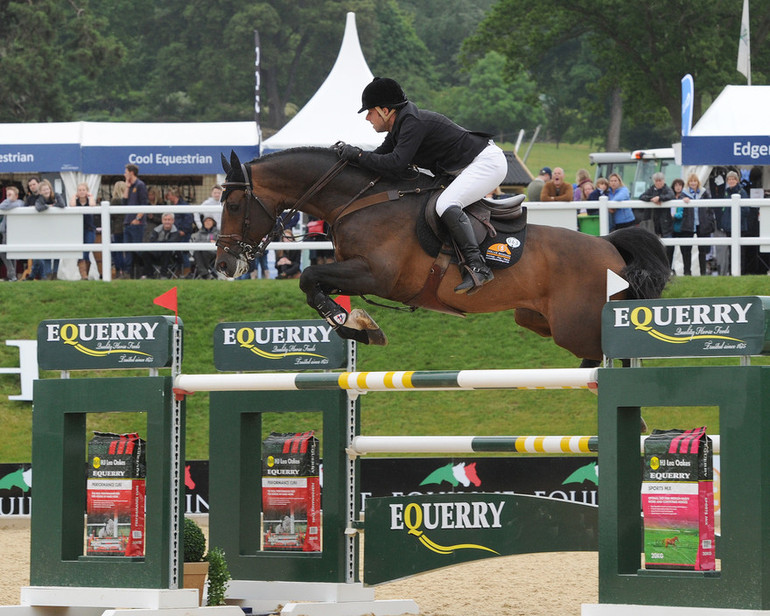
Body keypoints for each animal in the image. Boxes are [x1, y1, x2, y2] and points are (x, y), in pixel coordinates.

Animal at [214, 148, 664, 366]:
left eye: (234, 205)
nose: (223, 265)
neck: (359, 201)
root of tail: (609, 245)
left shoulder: (376, 275)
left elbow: (310, 280)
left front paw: (354, 324)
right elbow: (313, 287)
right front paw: (358, 326)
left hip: (575, 326)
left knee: (610, 354)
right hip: (537, 320)